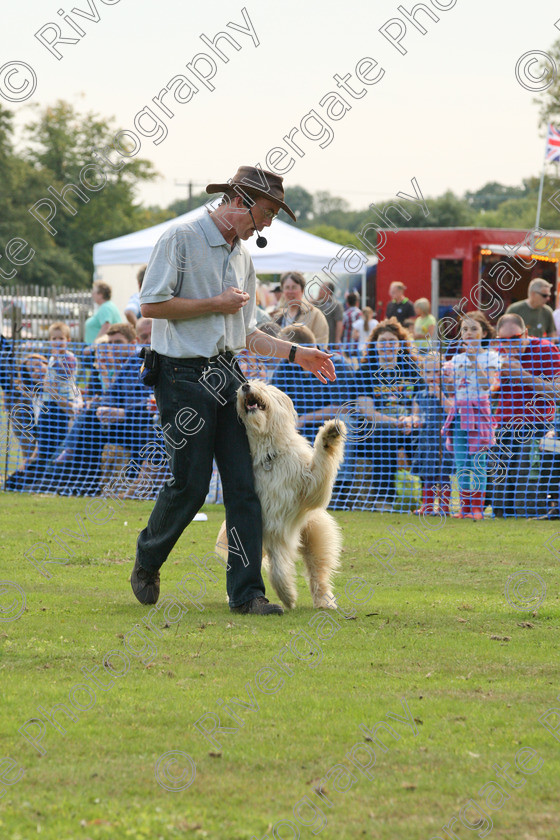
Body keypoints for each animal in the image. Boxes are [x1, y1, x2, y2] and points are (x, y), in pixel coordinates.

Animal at [215, 382, 344, 612]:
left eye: (262, 386)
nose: (245, 385)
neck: (268, 455)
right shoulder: (269, 525)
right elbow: (277, 568)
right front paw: (287, 594)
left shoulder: (308, 487)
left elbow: (320, 469)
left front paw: (329, 436)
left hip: (316, 537)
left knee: (317, 573)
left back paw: (323, 600)